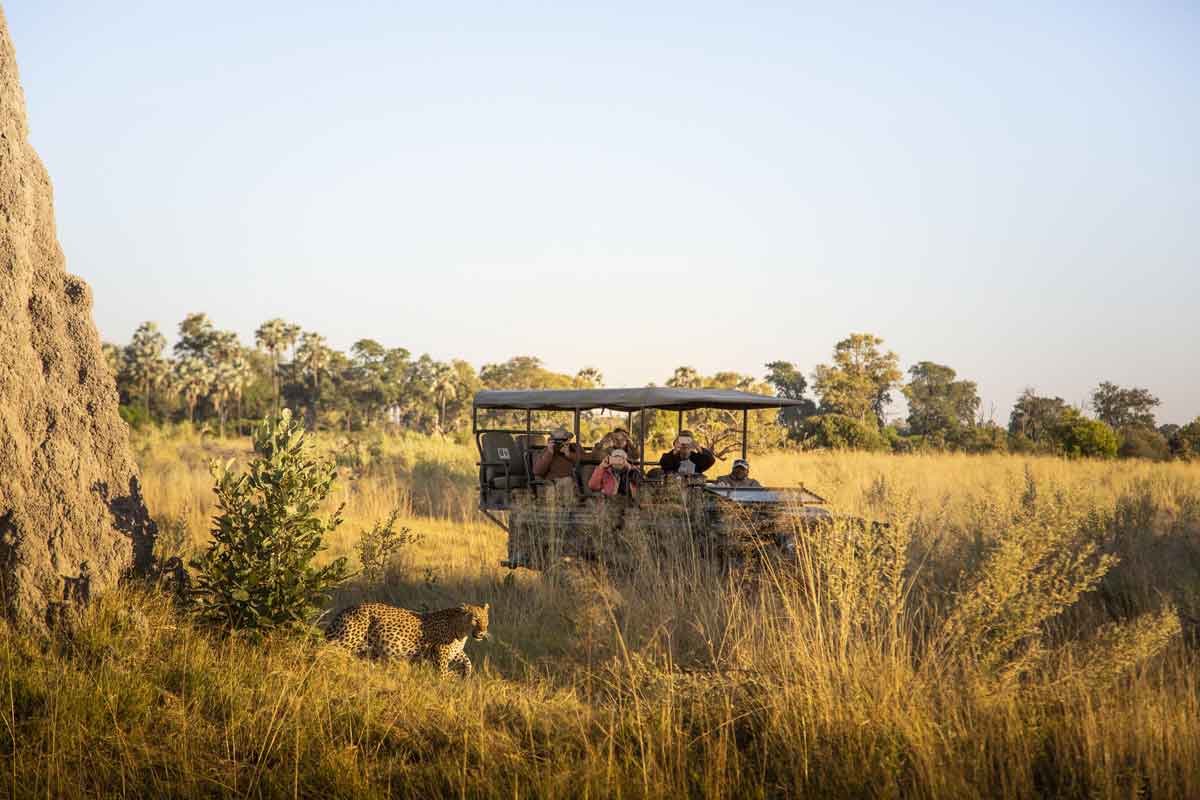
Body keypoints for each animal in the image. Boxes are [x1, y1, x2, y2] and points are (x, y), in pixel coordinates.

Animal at [326, 599, 489, 676]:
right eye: (475, 619)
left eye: (486, 619)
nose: (482, 632)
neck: (462, 633)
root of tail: (345, 610)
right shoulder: (440, 653)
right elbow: (443, 673)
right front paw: (450, 677)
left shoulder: (454, 652)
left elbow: (467, 660)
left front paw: (466, 674)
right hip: (344, 641)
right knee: (325, 651)